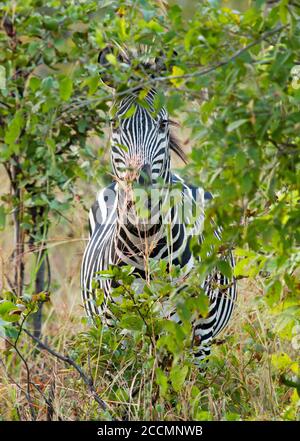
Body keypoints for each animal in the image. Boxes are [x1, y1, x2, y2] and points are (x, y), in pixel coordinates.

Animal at [80, 48, 237, 360]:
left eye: (162, 124)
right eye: (114, 124)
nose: (138, 183)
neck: (145, 243)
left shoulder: (198, 337)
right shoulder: (119, 329)